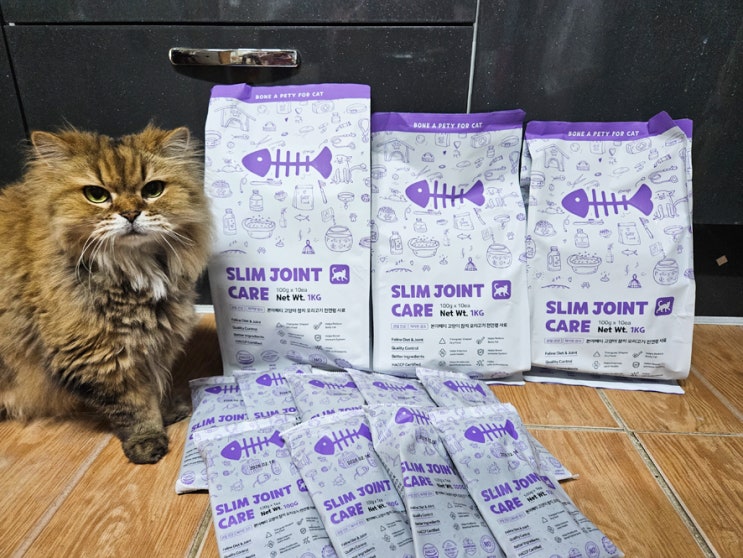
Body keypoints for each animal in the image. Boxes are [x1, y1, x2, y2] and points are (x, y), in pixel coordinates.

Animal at [0, 125, 212, 464]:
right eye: (96, 195)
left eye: (153, 189)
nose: (131, 213)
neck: (133, 269)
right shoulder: (98, 355)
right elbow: (134, 405)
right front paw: (147, 442)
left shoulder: (151, 342)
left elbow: (154, 386)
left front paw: (168, 411)